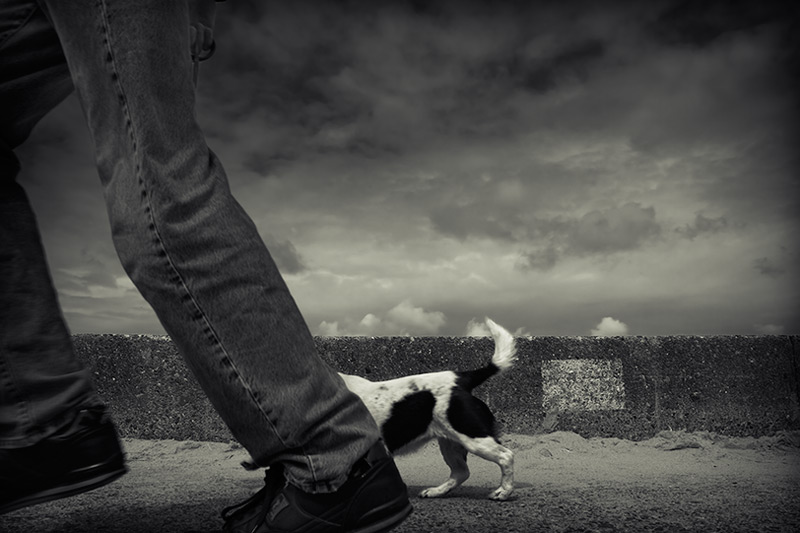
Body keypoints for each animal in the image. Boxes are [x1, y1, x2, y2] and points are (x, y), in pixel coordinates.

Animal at [340, 318, 516, 500]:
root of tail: (461, 378)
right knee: (461, 472)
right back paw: (436, 491)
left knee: (506, 456)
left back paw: (503, 492)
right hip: (450, 443)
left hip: (473, 437)